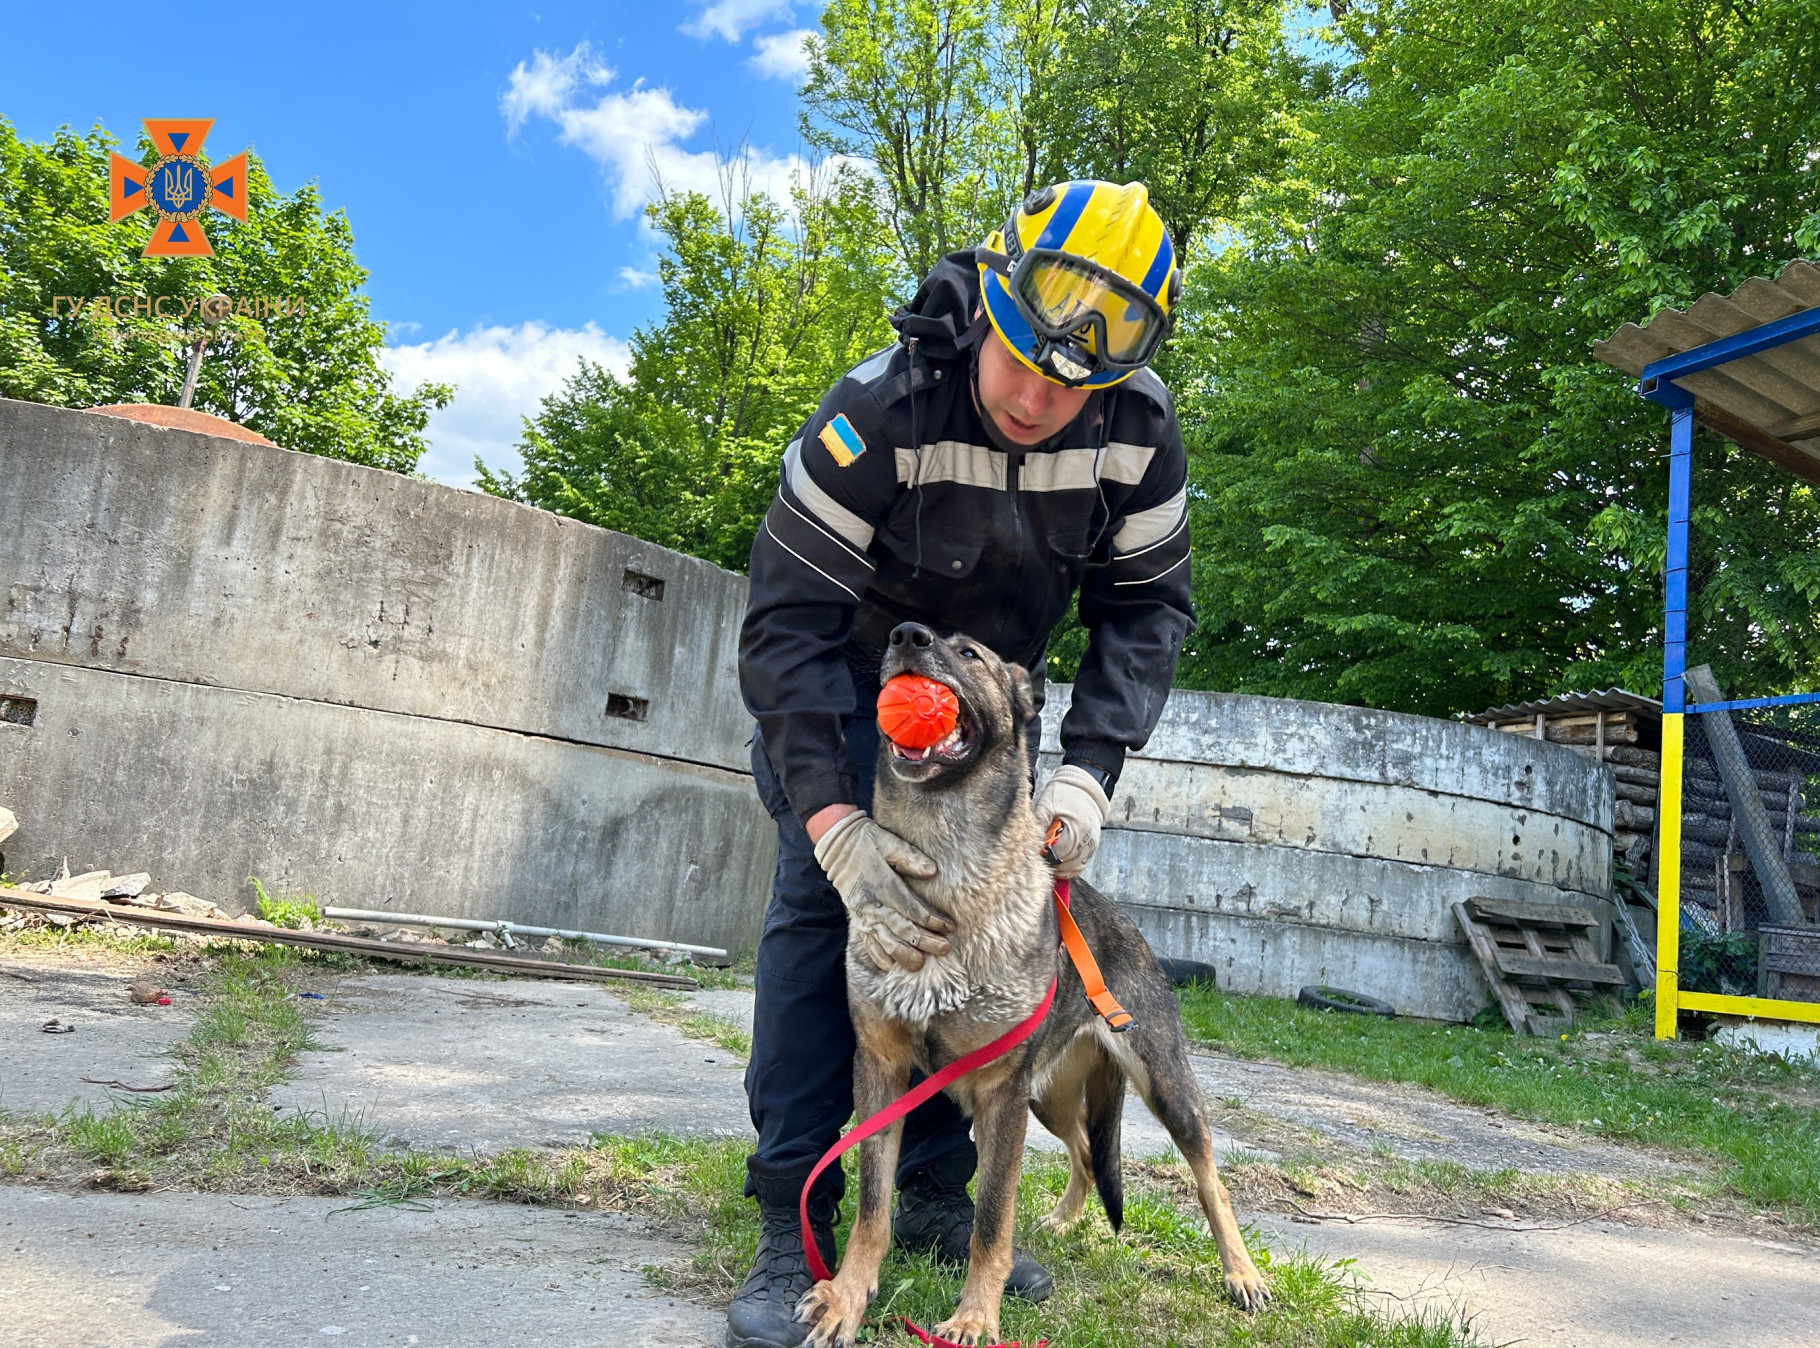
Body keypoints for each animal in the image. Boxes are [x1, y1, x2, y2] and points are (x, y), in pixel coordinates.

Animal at [797, 622, 1266, 1346]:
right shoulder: (883, 1072)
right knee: (1086, 1153)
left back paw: (1241, 1273)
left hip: (1157, 1086)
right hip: (1047, 1098)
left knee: (1207, 1175)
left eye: (969, 653)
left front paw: (974, 1317)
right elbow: (874, 1207)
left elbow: (992, 1219)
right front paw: (847, 1297)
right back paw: (1066, 1221)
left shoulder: (999, 1095)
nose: (905, 635)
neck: (950, 872)